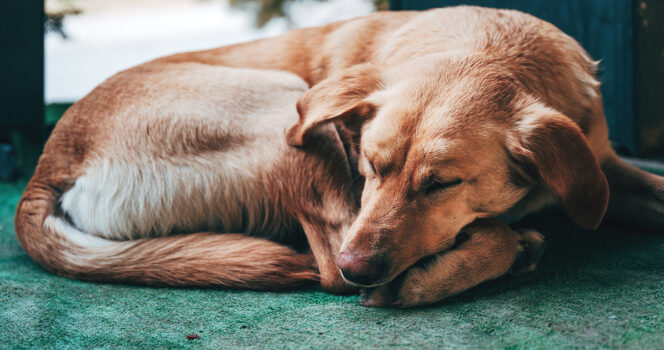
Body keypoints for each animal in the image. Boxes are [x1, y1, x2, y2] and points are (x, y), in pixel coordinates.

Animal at [16, 5, 664, 306]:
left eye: (441, 184)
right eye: (369, 167)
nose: (363, 270)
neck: (488, 44)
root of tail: (47, 167)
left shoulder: (601, 170)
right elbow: (498, 232)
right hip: (286, 113)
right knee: (326, 264)